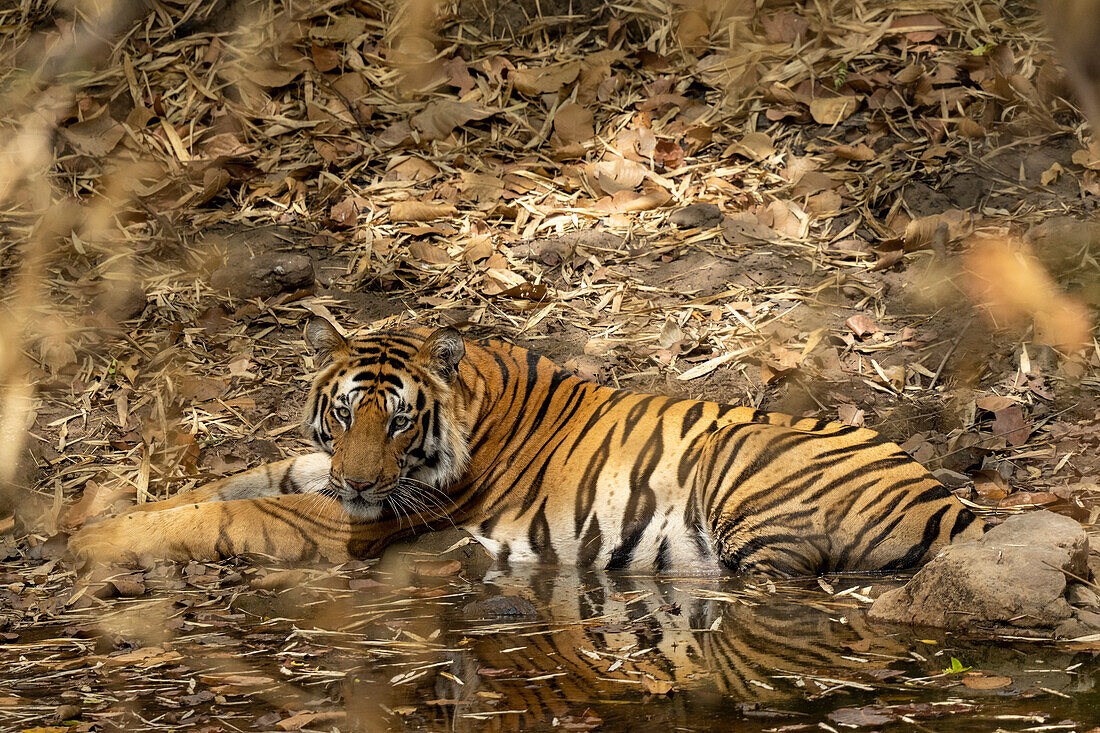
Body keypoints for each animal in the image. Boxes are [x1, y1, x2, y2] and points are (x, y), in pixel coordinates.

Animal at [68, 316, 985, 572]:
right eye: (347, 414)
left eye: (399, 420)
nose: (361, 482)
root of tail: (940, 489)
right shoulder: (324, 473)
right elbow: (226, 486)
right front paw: (81, 516)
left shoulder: (351, 520)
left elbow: (226, 514)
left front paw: (93, 540)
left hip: (740, 473)